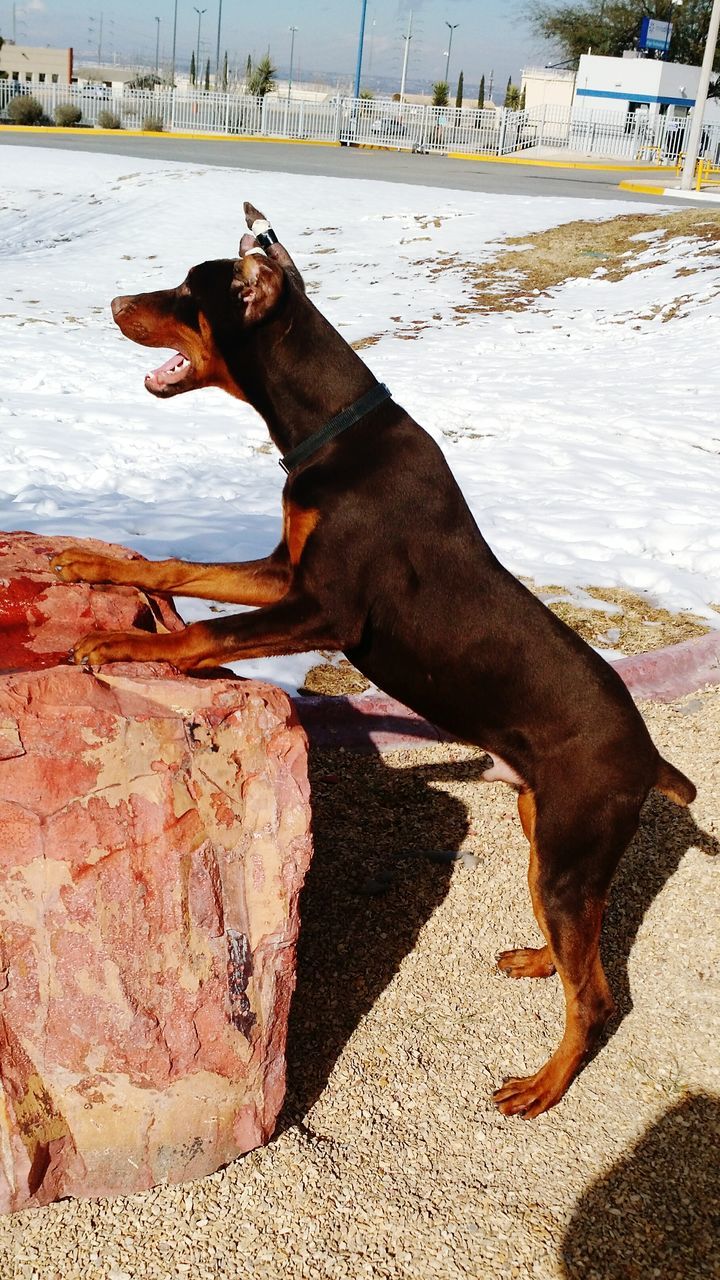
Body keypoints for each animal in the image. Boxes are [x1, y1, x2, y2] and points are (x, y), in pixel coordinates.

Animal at [50, 199, 691, 1121]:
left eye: (183, 294)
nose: (110, 303)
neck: (329, 431)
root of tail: (649, 757)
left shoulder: (327, 608)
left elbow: (203, 635)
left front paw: (123, 642)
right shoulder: (284, 570)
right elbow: (176, 569)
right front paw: (91, 565)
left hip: (572, 847)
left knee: (597, 996)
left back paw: (541, 1085)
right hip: (543, 829)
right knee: (583, 946)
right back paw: (539, 957)